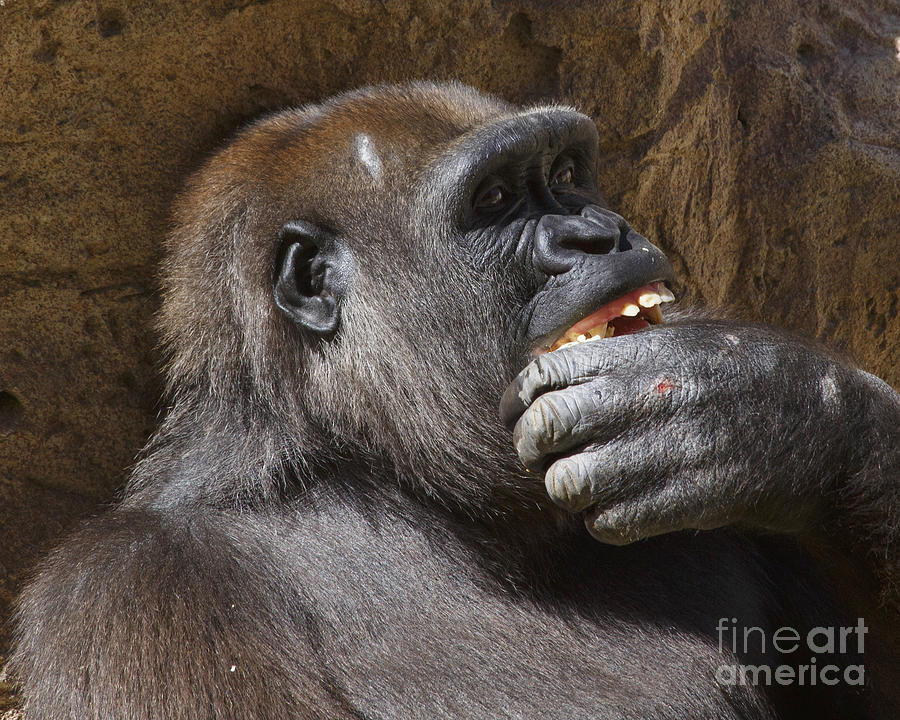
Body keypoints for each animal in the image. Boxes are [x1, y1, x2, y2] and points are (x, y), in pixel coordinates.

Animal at [8, 81, 900, 716]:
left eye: (567, 175)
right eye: (496, 200)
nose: (602, 235)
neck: (382, 474)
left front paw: (772, 410)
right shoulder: (131, 587)